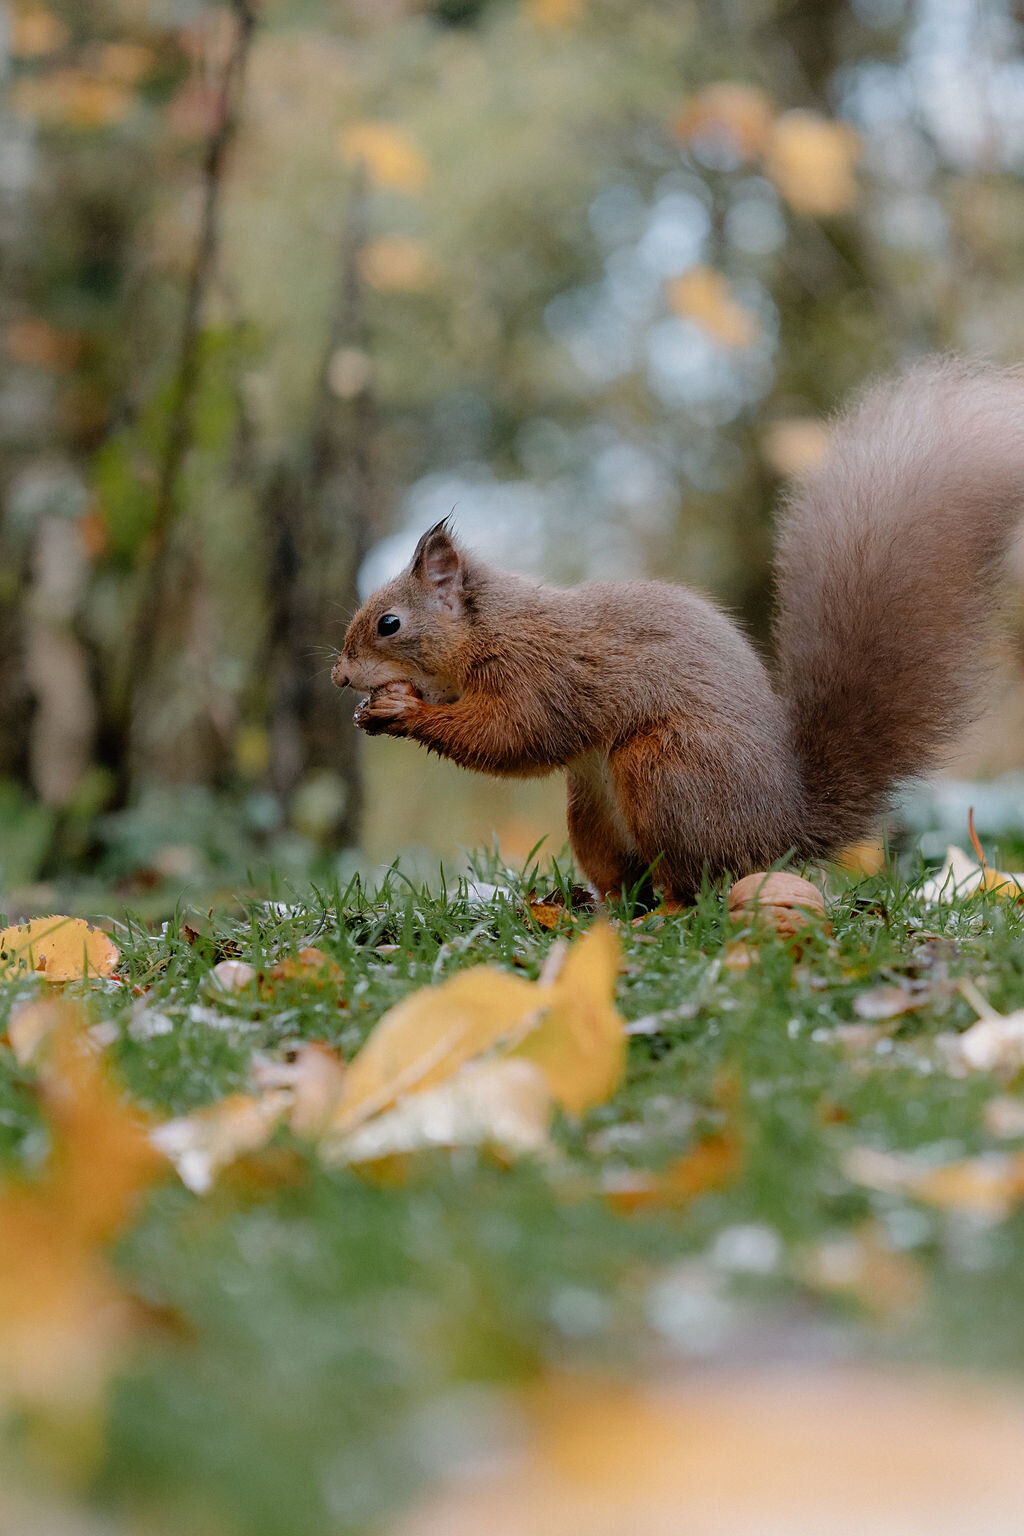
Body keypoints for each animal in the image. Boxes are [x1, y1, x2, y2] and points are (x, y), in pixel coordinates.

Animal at [332, 360, 1024, 905]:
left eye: (390, 623)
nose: (339, 676)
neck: (490, 629)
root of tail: (782, 829)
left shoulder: (538, 675)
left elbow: (512, 737)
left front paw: (403, 712)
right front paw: (375, 710)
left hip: (662, 770)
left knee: (694, 885)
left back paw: (661, 913)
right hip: (593, 809)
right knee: (628, 877)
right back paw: (601, 908)